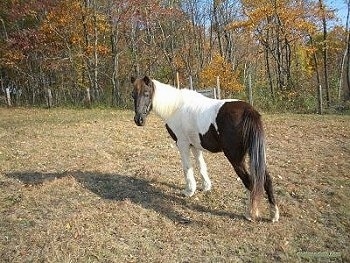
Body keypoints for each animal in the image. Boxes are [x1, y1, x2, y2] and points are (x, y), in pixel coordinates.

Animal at [131, 76, 278, 223]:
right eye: (133, 94)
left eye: (146, 93)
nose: (138, 120)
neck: (176, 107)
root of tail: (249, 111)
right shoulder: (195, 145)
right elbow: (201, 165)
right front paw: (206, 187)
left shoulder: (182, 144)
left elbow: (187, 168)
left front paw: (189, 191)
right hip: (255, 156)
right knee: (266, 180)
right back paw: (274, 215)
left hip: (236, 158)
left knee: (250, 183)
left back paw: (249, 213)